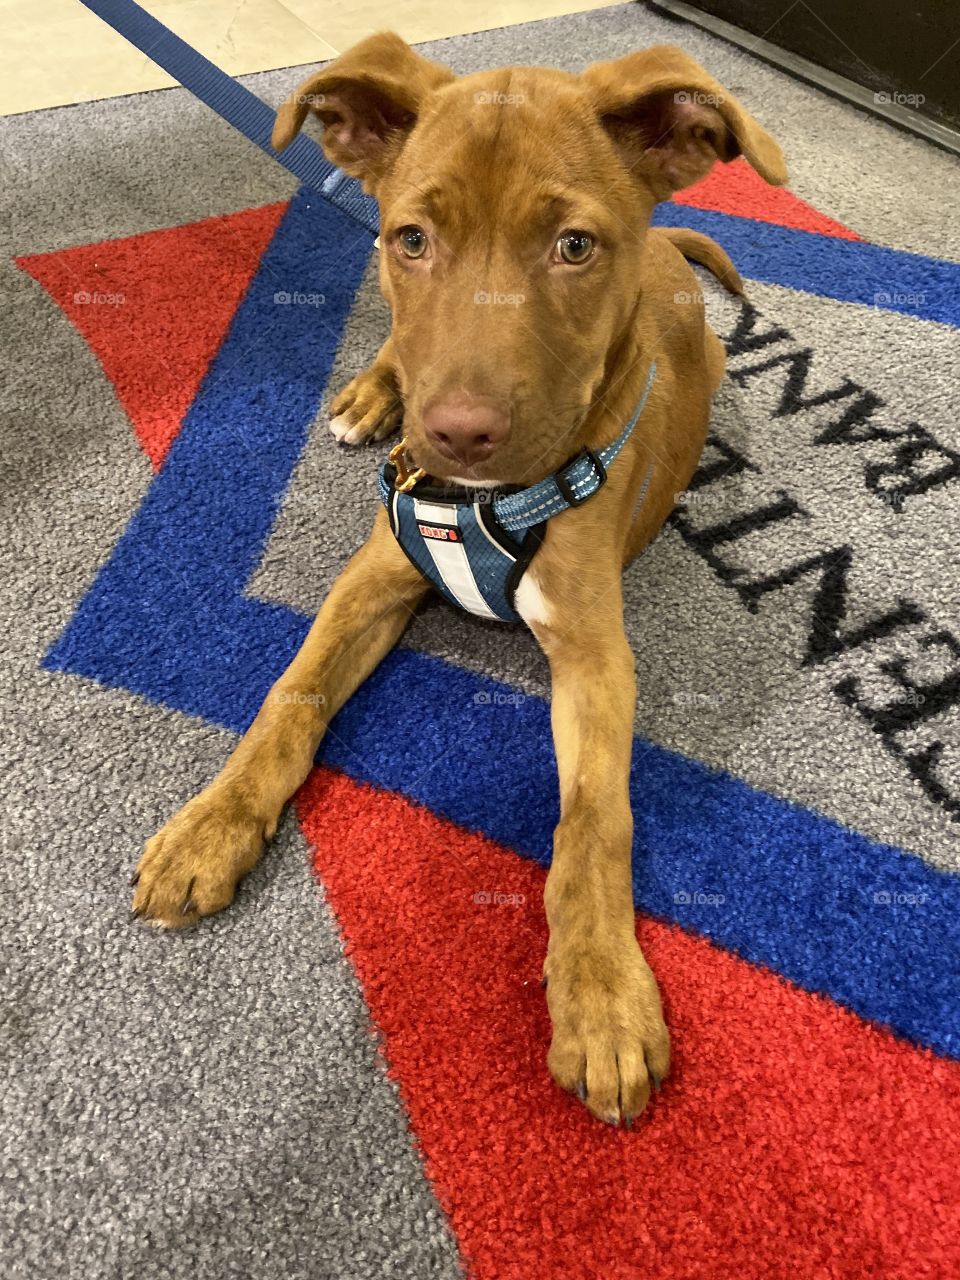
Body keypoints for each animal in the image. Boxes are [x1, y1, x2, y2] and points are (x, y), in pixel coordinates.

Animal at [131, 35, 783, 1126]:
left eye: (574, 246)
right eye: (413, 239)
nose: (455, 433)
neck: (481, 498)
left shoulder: (597, 656)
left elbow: (594, 821)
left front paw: (601, 992)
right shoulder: (372, 576)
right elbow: (288, 698)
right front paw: (210, 828)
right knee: (396, 348)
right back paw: (368, 394)